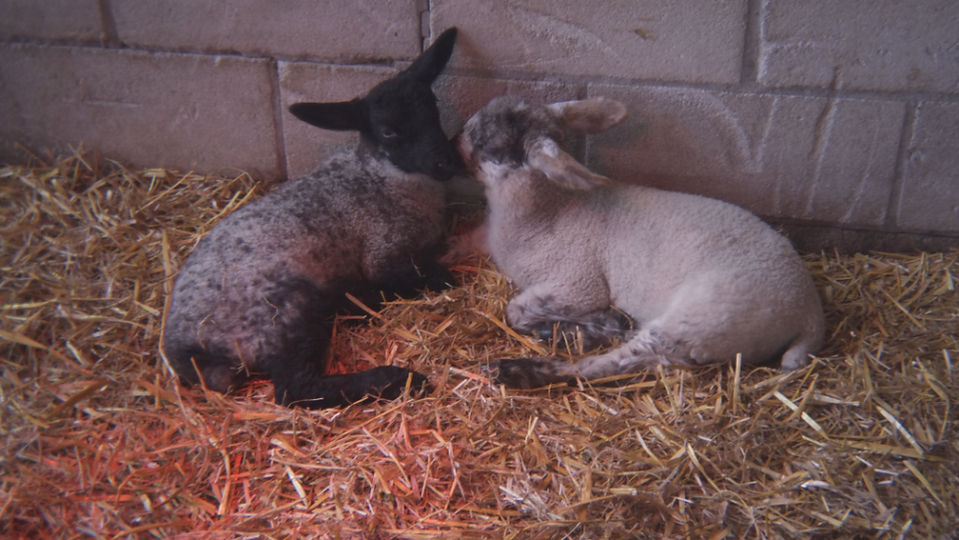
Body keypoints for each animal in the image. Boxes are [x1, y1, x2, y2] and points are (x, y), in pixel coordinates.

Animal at [162, 28, 461, 408]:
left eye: (433, 109)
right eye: (388, 131)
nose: (447, 162)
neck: (383, 178)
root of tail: (185, 351)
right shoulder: (384, 254)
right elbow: (436, 278)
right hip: (283, 309)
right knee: (296, 388)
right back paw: (397, 377)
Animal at [456, 96, 826, 389]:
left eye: (486, 139)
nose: (456, 140)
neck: (549, 211)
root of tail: (809, 312)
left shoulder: (578, 283)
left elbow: (514, 312)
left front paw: (577, 324)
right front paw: (594, 324)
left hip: (707, 319)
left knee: (614, 364)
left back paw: (524, 367)